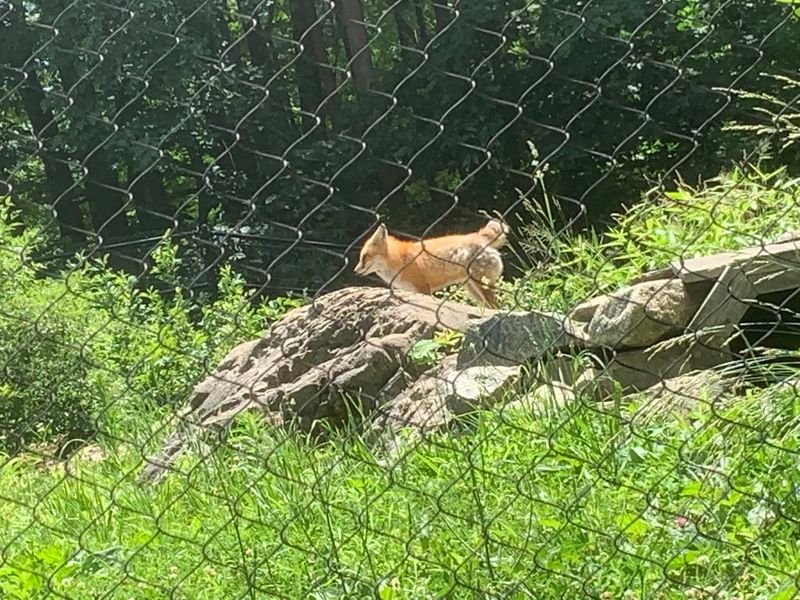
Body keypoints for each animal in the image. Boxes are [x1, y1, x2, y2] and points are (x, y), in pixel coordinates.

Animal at [354, 218, 509, 308]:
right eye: (361, 257)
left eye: (365, 257)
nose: (355, 270)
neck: (399, 260)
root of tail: (479, 236)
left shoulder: (423, 289)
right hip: (473, 290)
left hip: (482, 286)